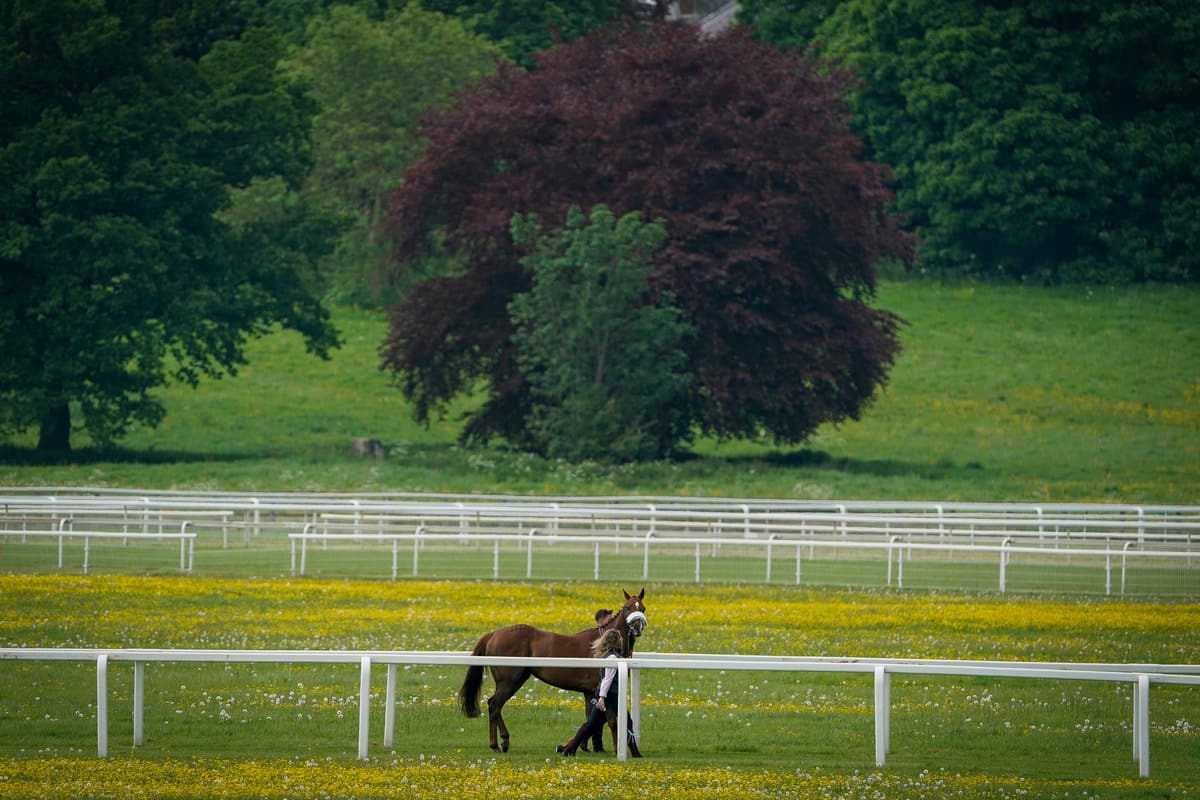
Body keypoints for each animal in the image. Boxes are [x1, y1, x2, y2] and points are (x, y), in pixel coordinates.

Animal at [458, 587, 648, 753]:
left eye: (643, 608)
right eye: (628, 608)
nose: (637, 627)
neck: (601, 645)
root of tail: (494, 634)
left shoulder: (590, 692)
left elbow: (592, 720)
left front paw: (579, 745)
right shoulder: (602, 689)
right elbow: (611, 721)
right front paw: (614, 748)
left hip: (518, 679)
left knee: (494, 705)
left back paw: (502, 742)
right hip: (509, 681)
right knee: (495, 705)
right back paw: (498, 744)